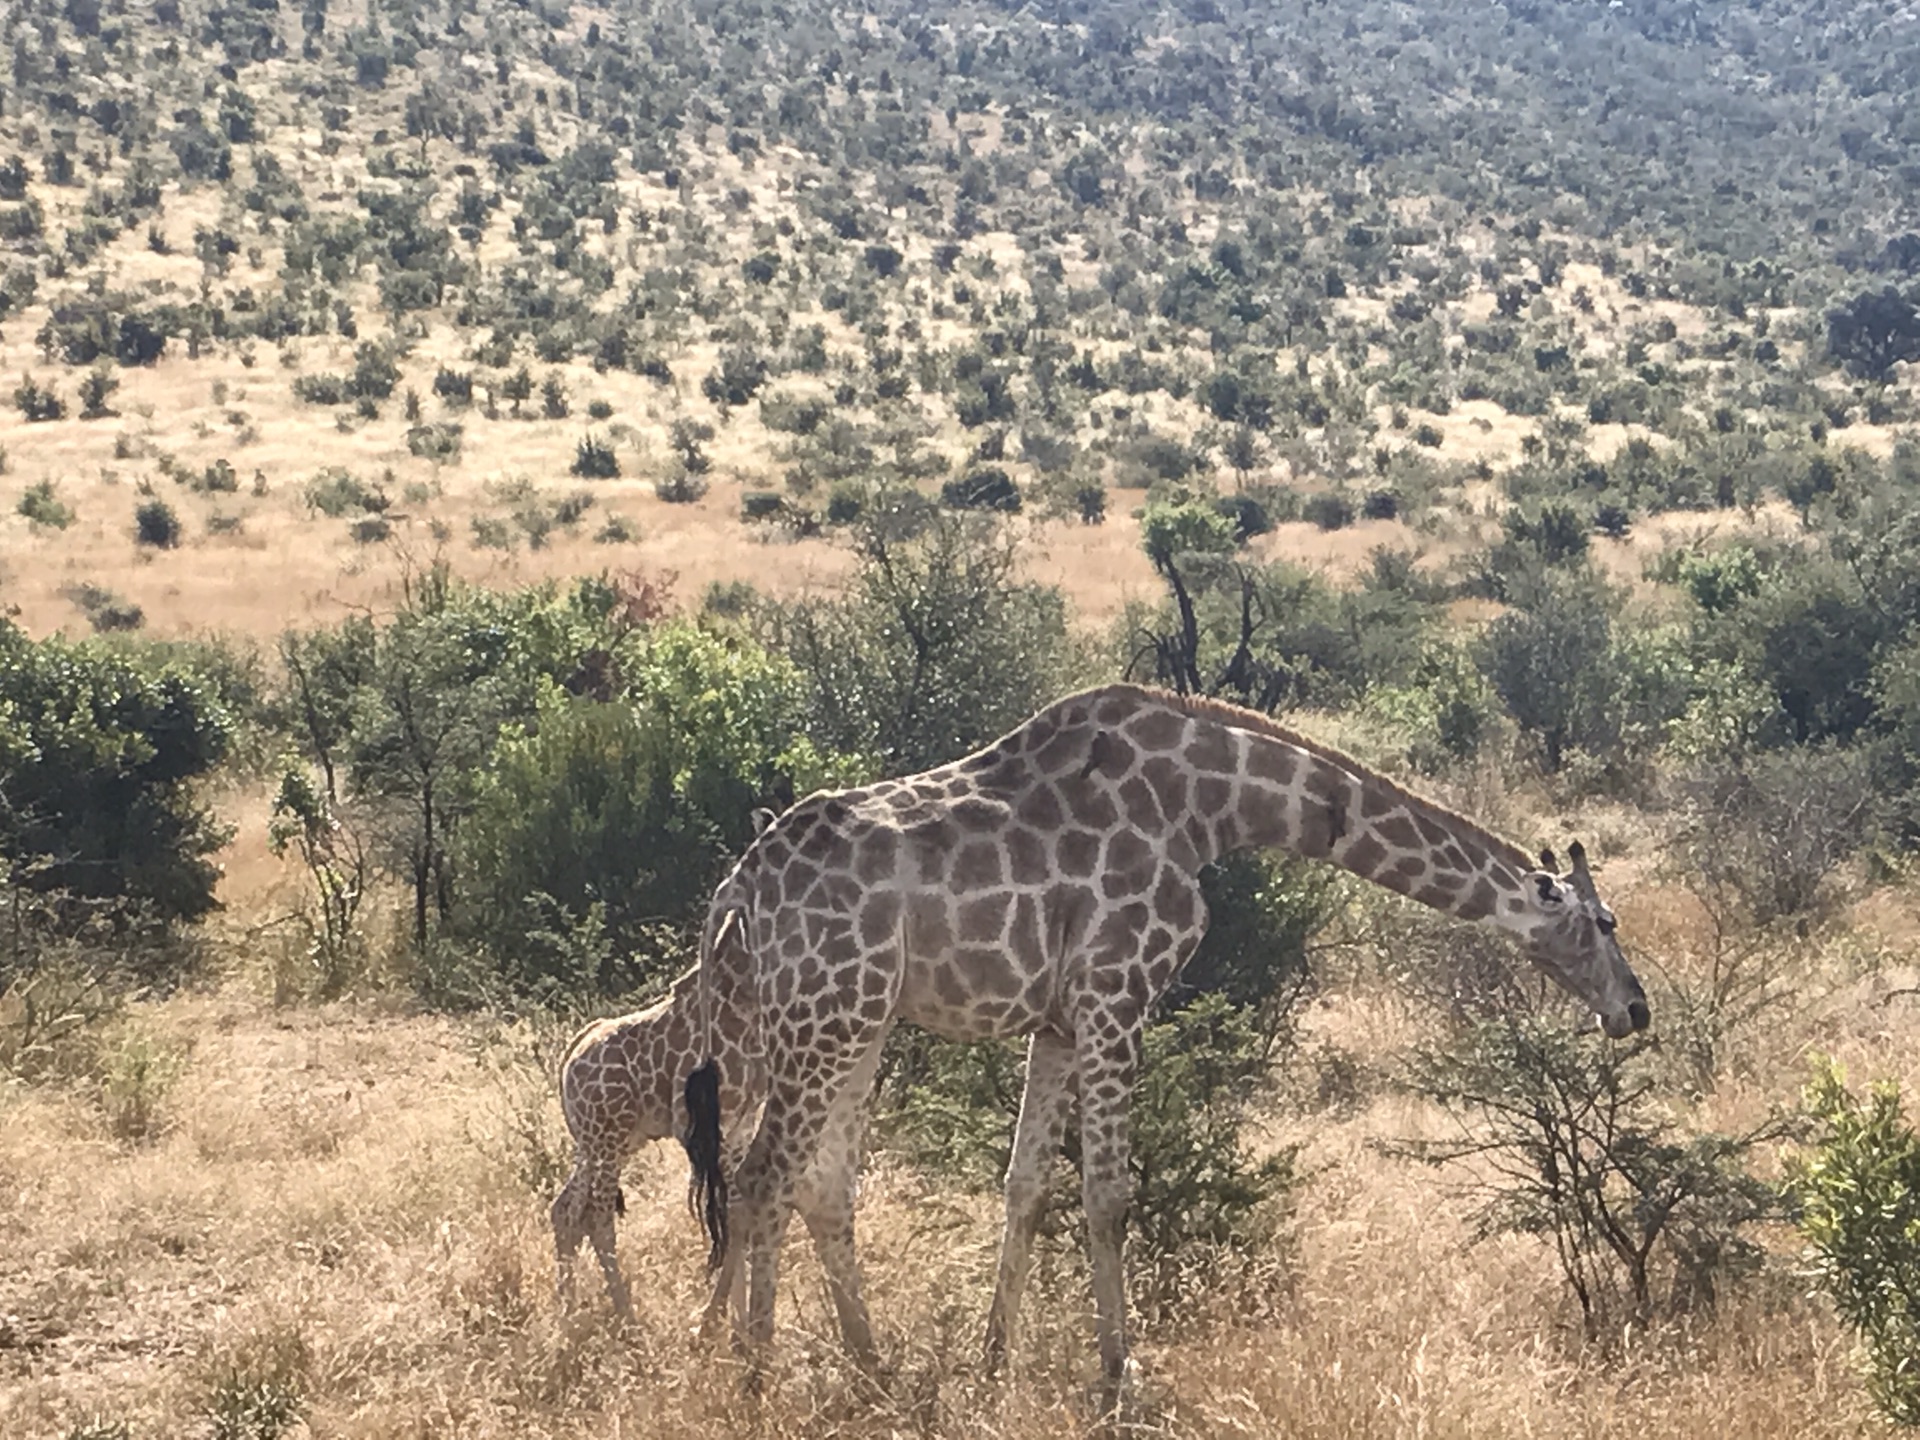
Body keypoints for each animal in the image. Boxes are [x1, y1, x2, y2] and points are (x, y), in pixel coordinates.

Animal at [679, 683, 1651, 1397]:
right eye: (1605, 922)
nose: (1635, 1010)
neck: (1210, 804)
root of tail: (736, 890)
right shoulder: (1118, 991)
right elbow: (1109, 1193)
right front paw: (1120, 1374)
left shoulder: (1060, 1018)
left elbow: (1026, 1186)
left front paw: (994, 1365)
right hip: (827, 1013)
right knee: (763, 1175)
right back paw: (744, 1371)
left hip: (855, 1019)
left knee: (819, 1185)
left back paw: (865, 1366)